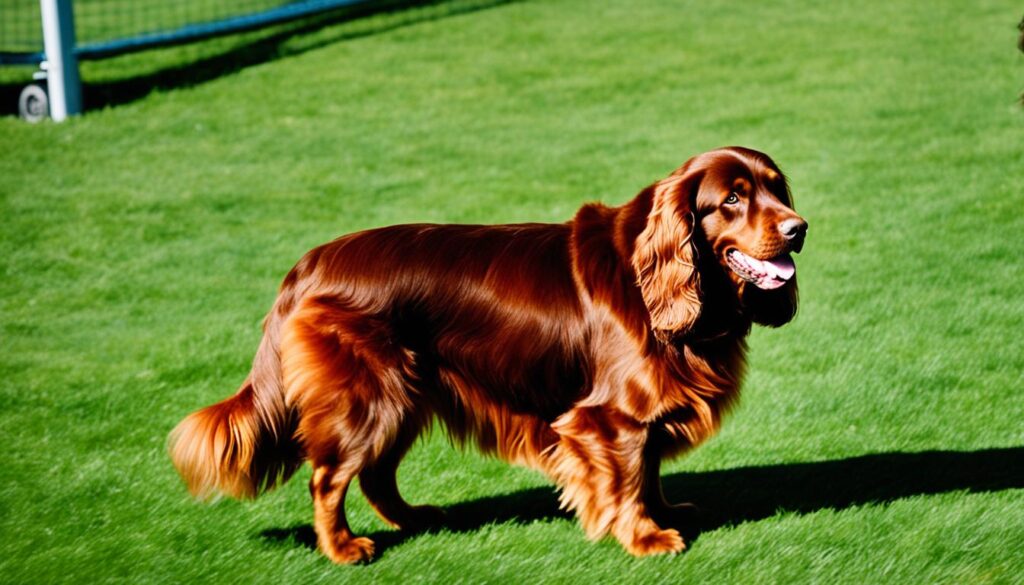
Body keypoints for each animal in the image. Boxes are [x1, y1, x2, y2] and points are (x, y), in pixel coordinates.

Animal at [167, 145, 806, 561]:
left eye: (778, 189)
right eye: (732, 198)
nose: (798, 228)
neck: (666, 286)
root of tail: (307, 264)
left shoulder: (637, 416)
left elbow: (646, 470)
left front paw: (665, 514)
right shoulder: (609, 416)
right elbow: (626, 478)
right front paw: (646, 537)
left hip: (405, 391)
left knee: (375, 472)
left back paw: (414, 518)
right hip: (367, 395)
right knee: (328, 478)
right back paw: (344, 548)